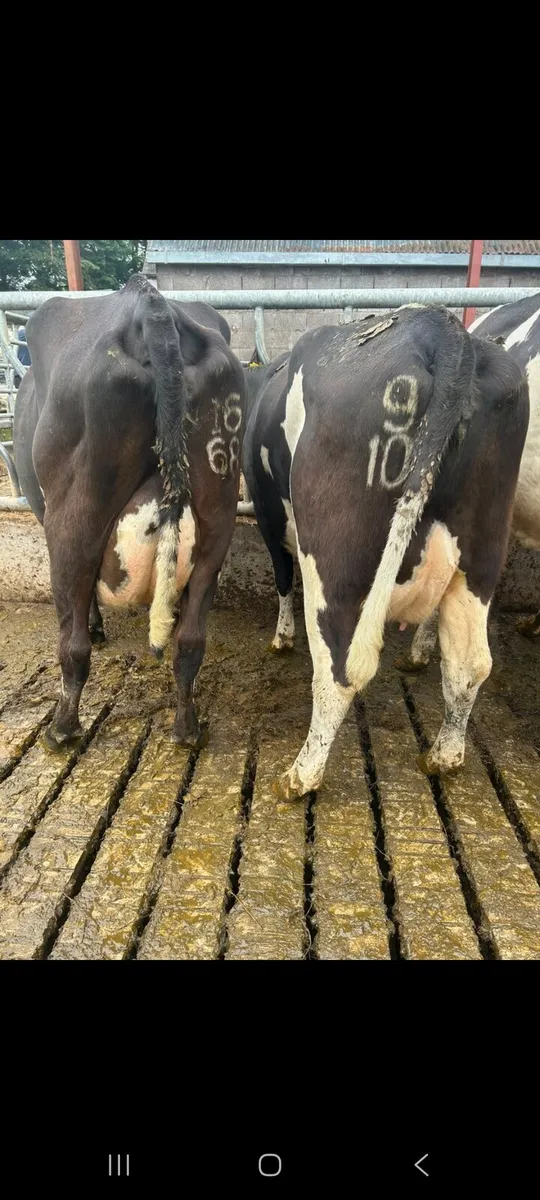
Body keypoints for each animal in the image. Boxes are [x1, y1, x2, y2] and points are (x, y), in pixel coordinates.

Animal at [13, 274, 246, 752]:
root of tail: (148, 304)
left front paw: (98, 627)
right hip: (218, 517)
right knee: (190, 640)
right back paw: (186, 729)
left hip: (72, 522)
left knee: (72, 644)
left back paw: (61, 729)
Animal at [242, 305, 529, 801]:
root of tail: (442, 329)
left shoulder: (268, 516)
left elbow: (281, 578)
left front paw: (281, 638)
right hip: (481, 553)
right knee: (470, 664)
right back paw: (442, 756)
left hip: (334, 564)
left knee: (338, 671)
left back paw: (300, 775)